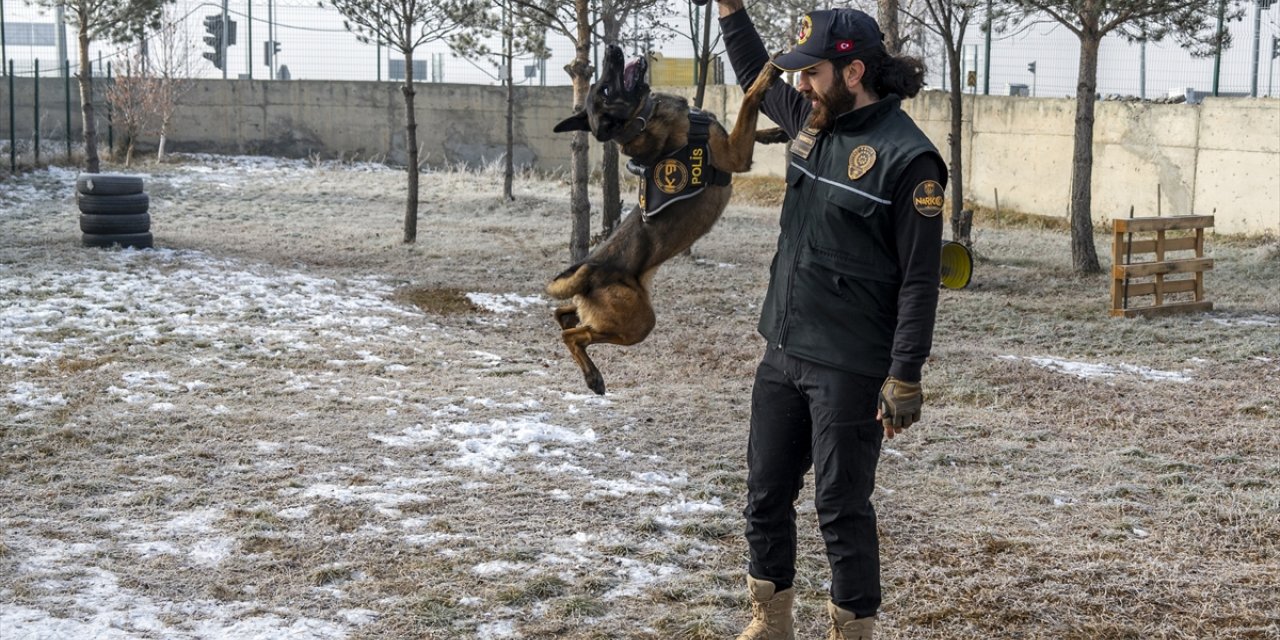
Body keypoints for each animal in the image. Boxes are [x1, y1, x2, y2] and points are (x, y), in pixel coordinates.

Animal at [545, 45, 773, 391]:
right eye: (605, 89)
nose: (611, 48)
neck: (644, 119)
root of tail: (589, 270)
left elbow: (752, 126)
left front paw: (776, 133)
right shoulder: (735, 154)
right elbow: (748, 102)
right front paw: (767, 73)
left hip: (614, 313)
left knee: (563, 315)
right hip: (639, 322)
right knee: (571, 335)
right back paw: (593, 377)